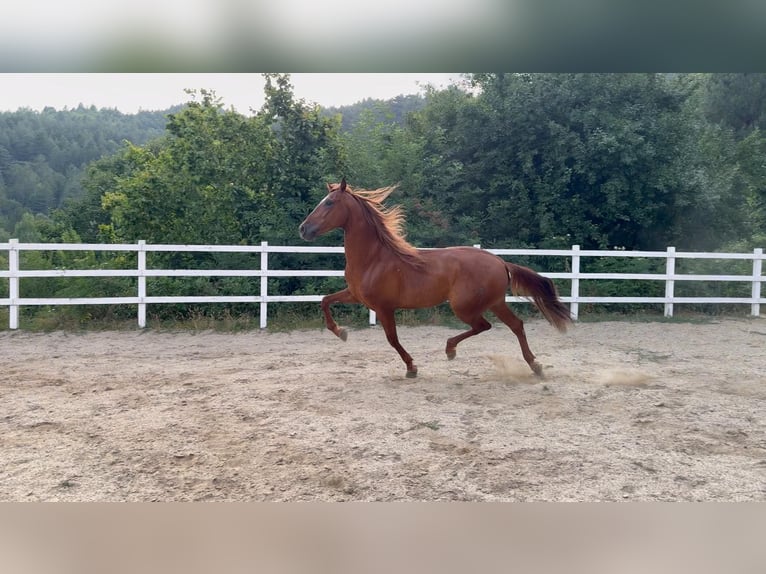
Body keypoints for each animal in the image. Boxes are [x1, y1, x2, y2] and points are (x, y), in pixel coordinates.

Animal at [298, 178, 572, 378]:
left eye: (330, 203)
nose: (303, 229)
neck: (373, 258)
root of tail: (500, 261)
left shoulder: (384, 307)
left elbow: (392, 339)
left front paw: (412, 368)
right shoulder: (356, 296)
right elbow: (325, 300)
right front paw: (341, 332)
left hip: (464, 306)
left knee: (483, 326)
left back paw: (450, 349)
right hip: (496, 302)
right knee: (516, 325)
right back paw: (535, 366)